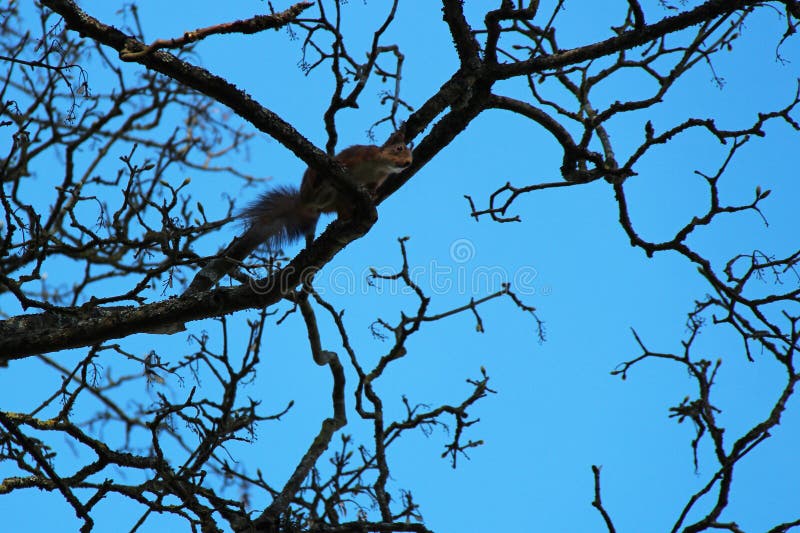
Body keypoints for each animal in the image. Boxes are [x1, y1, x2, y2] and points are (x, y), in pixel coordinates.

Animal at [185, 132, 412, 294]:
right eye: (399, 148)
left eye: (410, 155)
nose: (408, 163)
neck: (379, 167)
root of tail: (305, 203)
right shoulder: (359, 155)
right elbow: (346, 161)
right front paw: (339, 165)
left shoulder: (378, 180)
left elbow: (373, 189)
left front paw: (371, 195)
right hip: (314, 183)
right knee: (317, 181)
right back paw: (322, 182)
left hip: (337, 202)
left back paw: (342, 218)